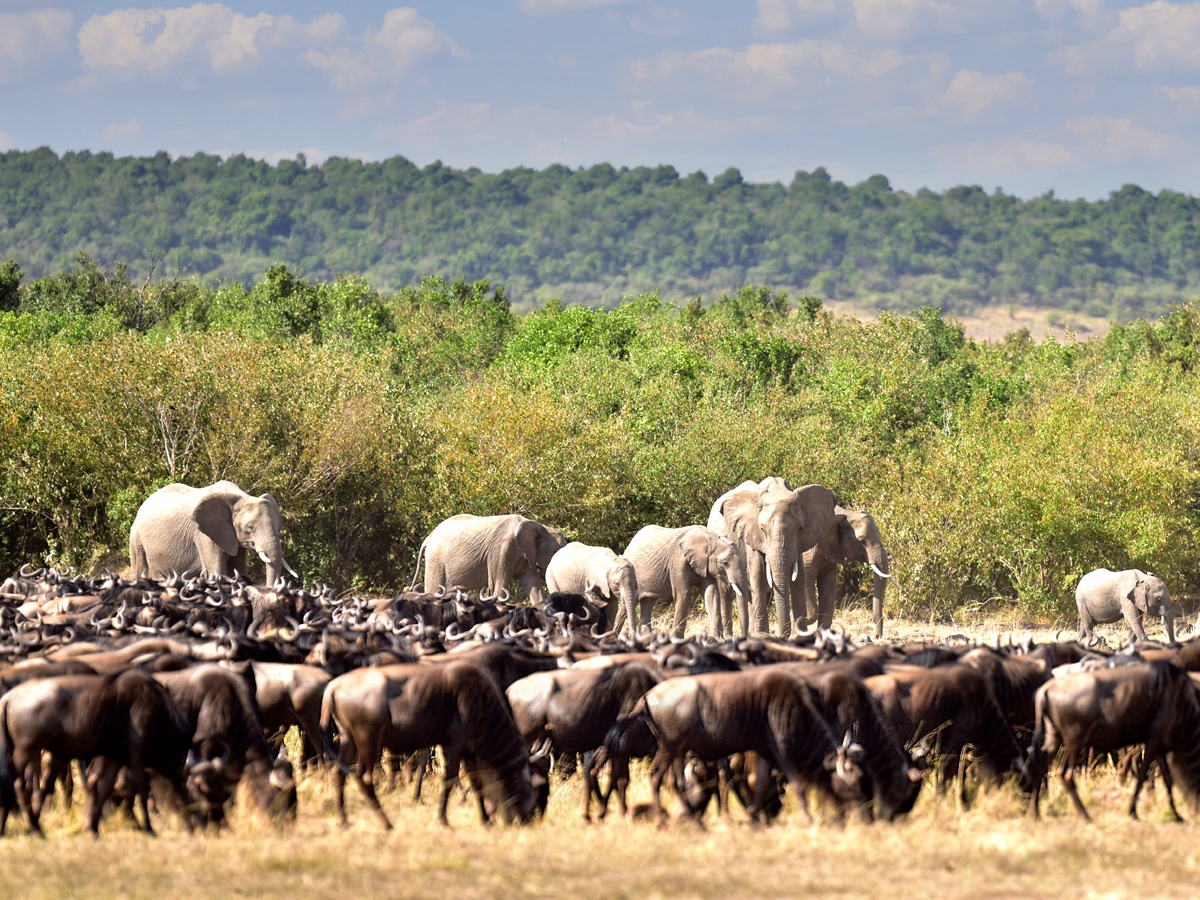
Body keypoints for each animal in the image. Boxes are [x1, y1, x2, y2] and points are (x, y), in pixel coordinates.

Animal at [127, 482, 297, 588]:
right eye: (250, 527)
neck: (240, 497)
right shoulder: (203, 534)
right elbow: (216, 570)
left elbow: (238, 569)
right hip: (136, 536)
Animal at [408, 513, 566, 607]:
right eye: (555, 552)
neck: (538, 525)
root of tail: (429, 537)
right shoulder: (501, 549)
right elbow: (499, 591)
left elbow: (533, 586)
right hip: (436, 561)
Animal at [619, 520, 748, 643]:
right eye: (725, 563)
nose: (743, 637)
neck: (710, 538)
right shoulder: (678, 562)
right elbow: (684, 594)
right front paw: (677, 640)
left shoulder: (705, 565)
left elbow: (711, 594)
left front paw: (717, 639)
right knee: (628, 603)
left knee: (648, 602)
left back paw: (646, 637)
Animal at [700, 480, 835, 643]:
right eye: (762, 529)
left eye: (800, 528)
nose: (782, 636)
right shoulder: (752, 537)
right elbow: (757, 574)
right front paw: (762, 636)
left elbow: (799, 578)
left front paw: (799, 637)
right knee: (725, 592)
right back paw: (727, 637)